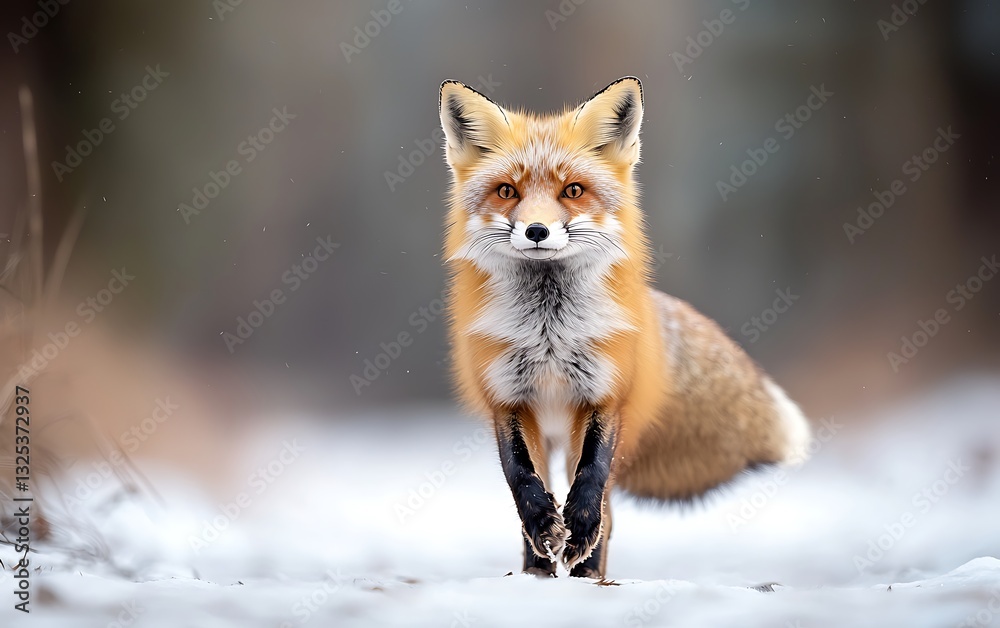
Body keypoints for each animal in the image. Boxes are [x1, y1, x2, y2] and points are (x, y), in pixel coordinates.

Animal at [438, 76, 811, 579]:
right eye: (507, 191)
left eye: (573, 191)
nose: (536, 230)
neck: (549, 332)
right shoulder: (508, 399)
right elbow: (521, 478)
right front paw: (543, 532)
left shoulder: (605, 394)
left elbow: (592, 477)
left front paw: (579, 535)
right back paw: (538, 567)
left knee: (607, 511)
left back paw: (589, 572)